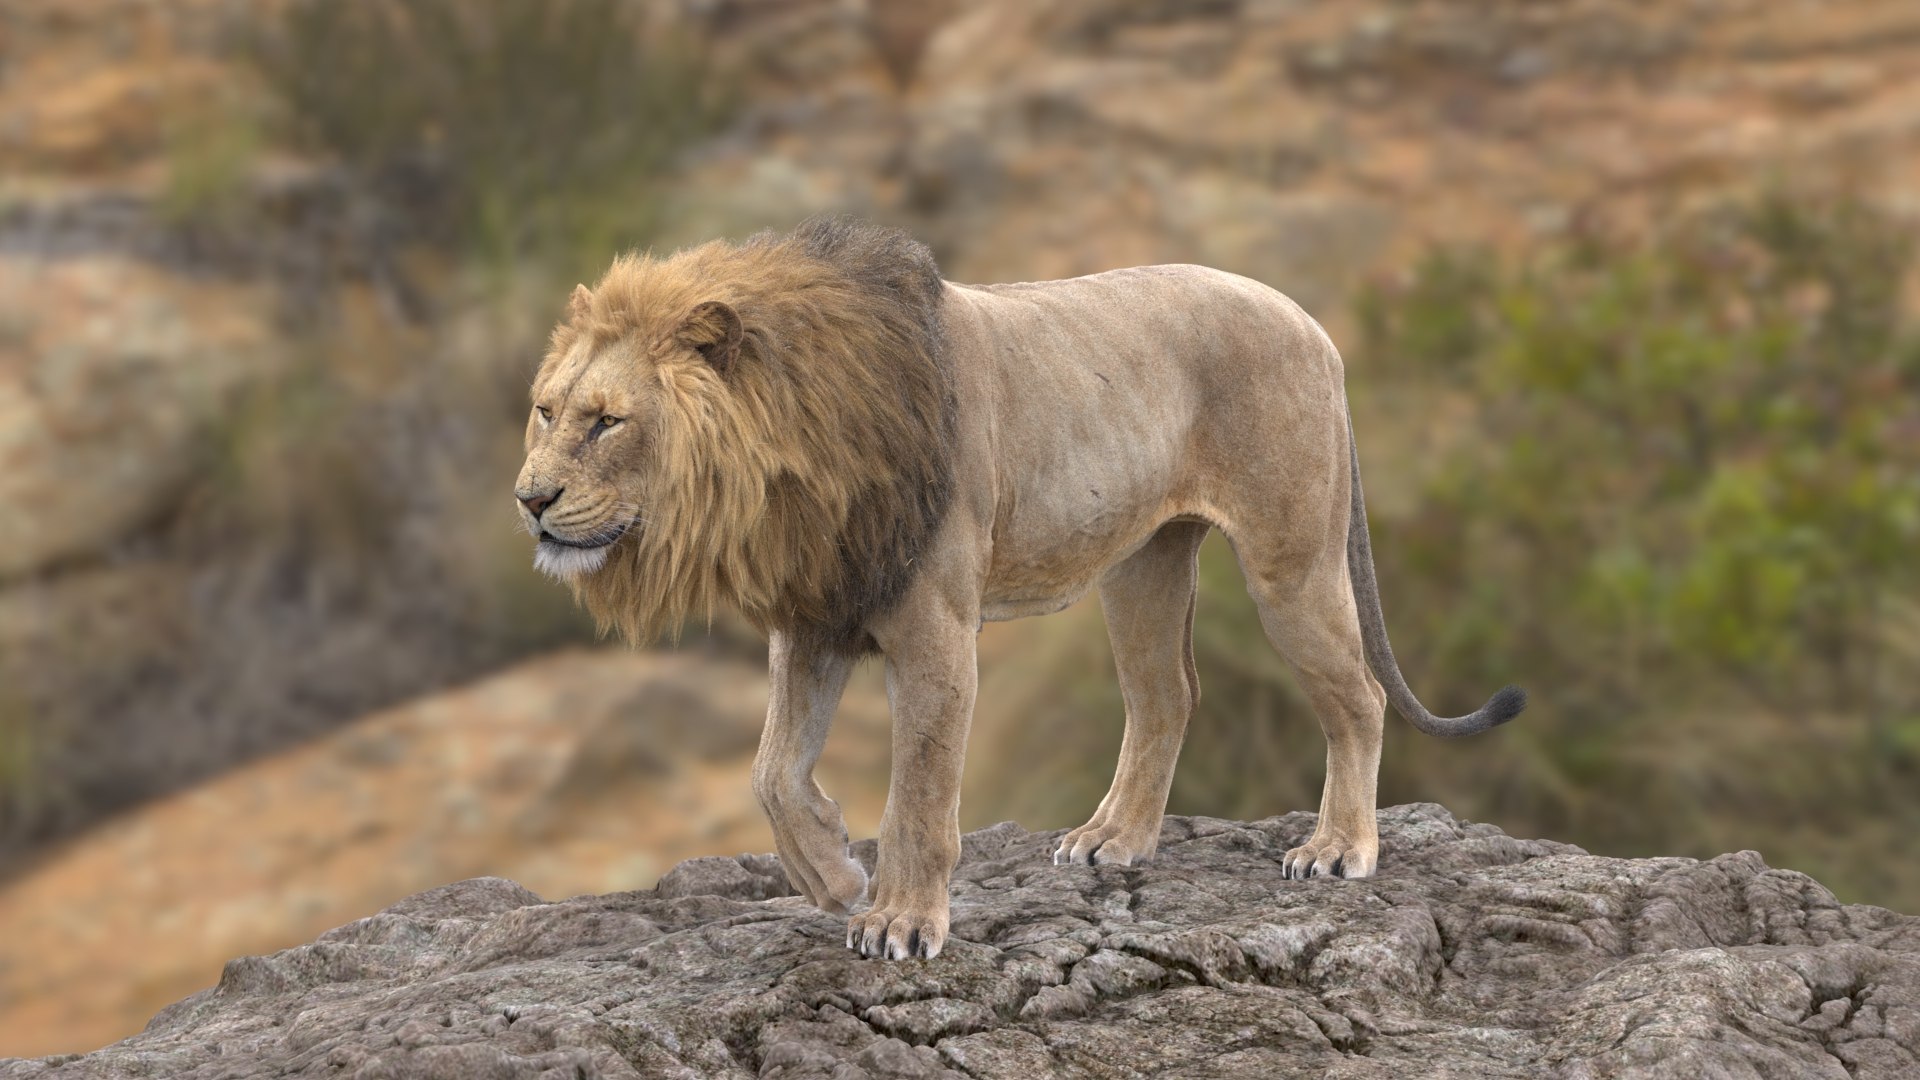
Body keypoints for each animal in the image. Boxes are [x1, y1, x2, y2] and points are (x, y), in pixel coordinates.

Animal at [515, 217, 1525, 960]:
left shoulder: (934, 629)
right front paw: (834, 876)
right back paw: (1112, 841)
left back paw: (1338, 849)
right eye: (545, 410)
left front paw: (899, 919)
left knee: (1355, 696)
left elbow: (919, 792)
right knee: (1168, 695)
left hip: (1289, 560)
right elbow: (770, 772)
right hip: (1145, 564)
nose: (529, 500)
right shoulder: (816, 612)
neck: (792, 459)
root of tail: (1315, 326)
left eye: (607, 423)